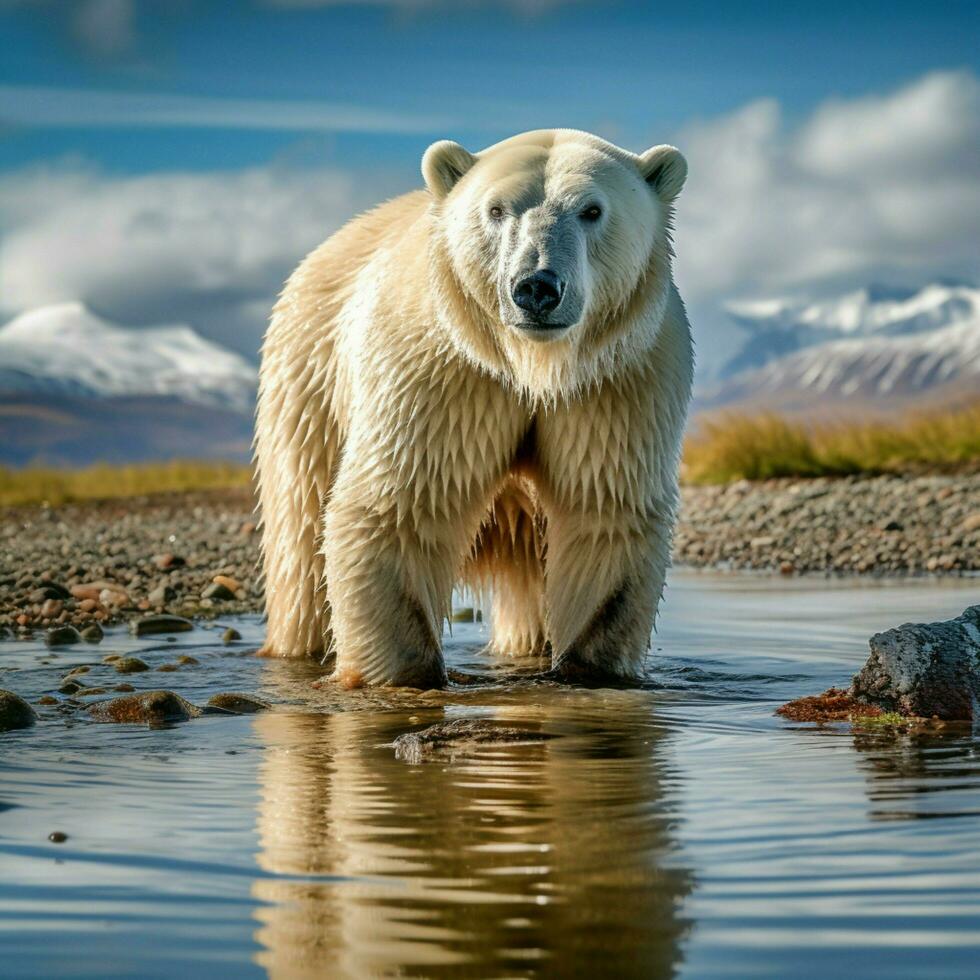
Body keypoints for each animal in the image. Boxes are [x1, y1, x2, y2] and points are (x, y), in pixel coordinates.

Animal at [256, 126, 692, 684]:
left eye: (592, 210)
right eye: (497, 209)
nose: (537, 287)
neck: (532, 365)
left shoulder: (618, 377)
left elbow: (604, 510)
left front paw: (583, 670)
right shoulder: (443, 368)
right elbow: (402, 504)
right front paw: (405, 675)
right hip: (310, 379)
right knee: (303, 543)